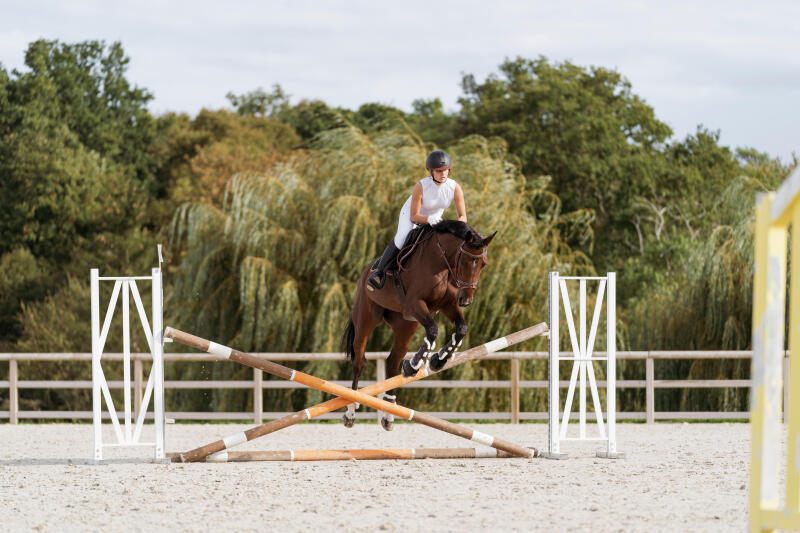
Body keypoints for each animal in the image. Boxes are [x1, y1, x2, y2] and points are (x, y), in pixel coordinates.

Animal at [340, 218, 494, 430]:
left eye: (483, 264)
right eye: (463, 260)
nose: (466, 300)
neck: (441, 263)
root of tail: (367, 269)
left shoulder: (448, 305)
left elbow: (461, 329)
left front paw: (438, 360)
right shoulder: (415, 304)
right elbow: (433, 330)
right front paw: (414, 365)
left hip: (405, 325)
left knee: (392, 360)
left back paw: (389, 413)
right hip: (366, 317)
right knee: (359, 360)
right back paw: (351, 412)